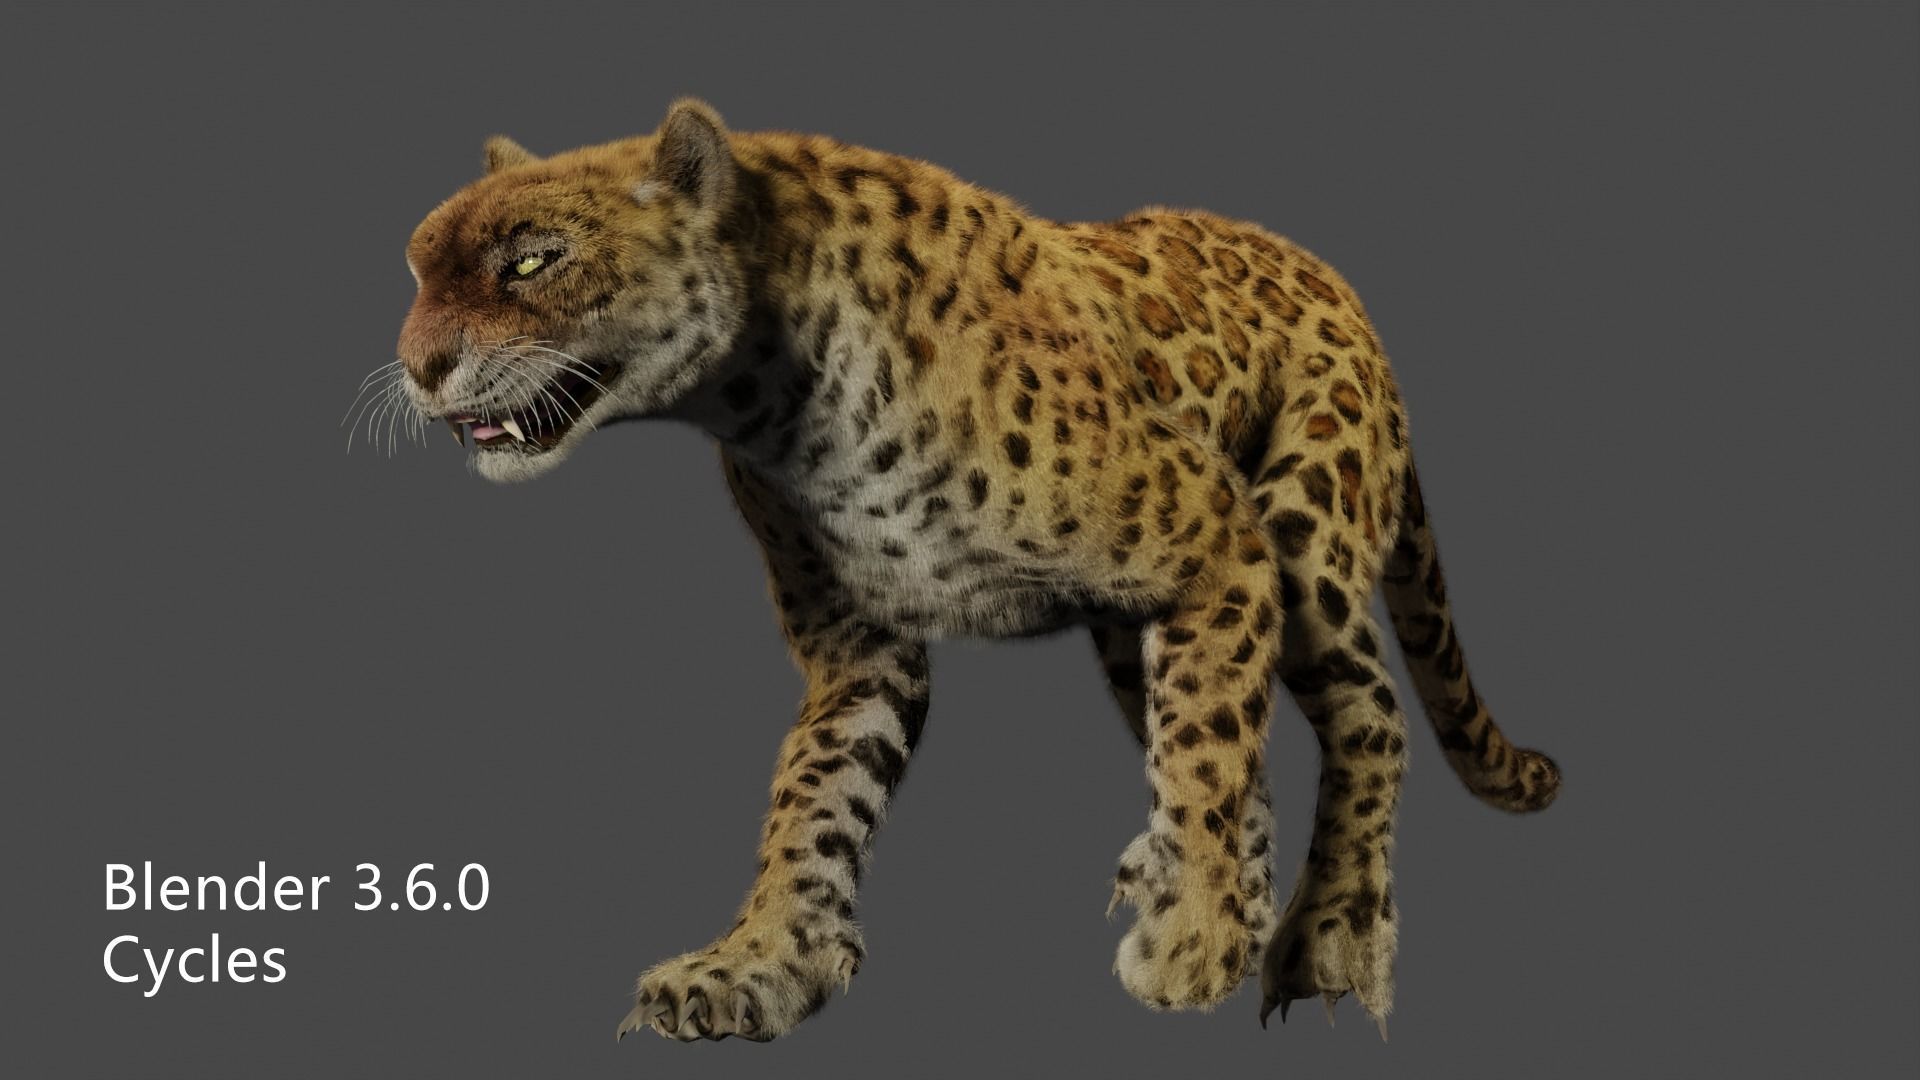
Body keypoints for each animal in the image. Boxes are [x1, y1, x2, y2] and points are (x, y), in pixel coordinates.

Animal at [369, 98, 1560, 1044]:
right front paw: (760, 961)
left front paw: (1197, 946)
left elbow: (1207, 753)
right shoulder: (857, 648)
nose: (420, 369)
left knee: (1362, 719)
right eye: (421, 271)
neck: (775, 393)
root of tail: (1325, 270)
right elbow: (811, 803)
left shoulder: (1217, 535)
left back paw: (1323, 937)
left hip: (1304, 532)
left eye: (531, 261)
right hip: (1132, 627)